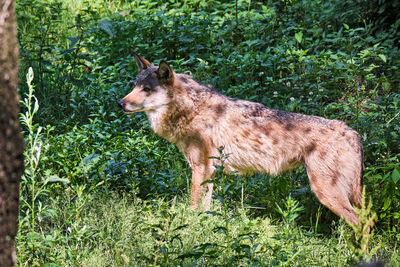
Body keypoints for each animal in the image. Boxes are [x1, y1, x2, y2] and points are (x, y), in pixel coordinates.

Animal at [117, 53, 364, 227]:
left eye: (146, 89)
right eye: (134, 86)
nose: (120, 103)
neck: (191, 109)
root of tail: (352, 132)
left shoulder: (199, 168)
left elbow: (192, 206)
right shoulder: (210, 172)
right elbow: (205, 207)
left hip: (326, 193)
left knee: (362, 223)